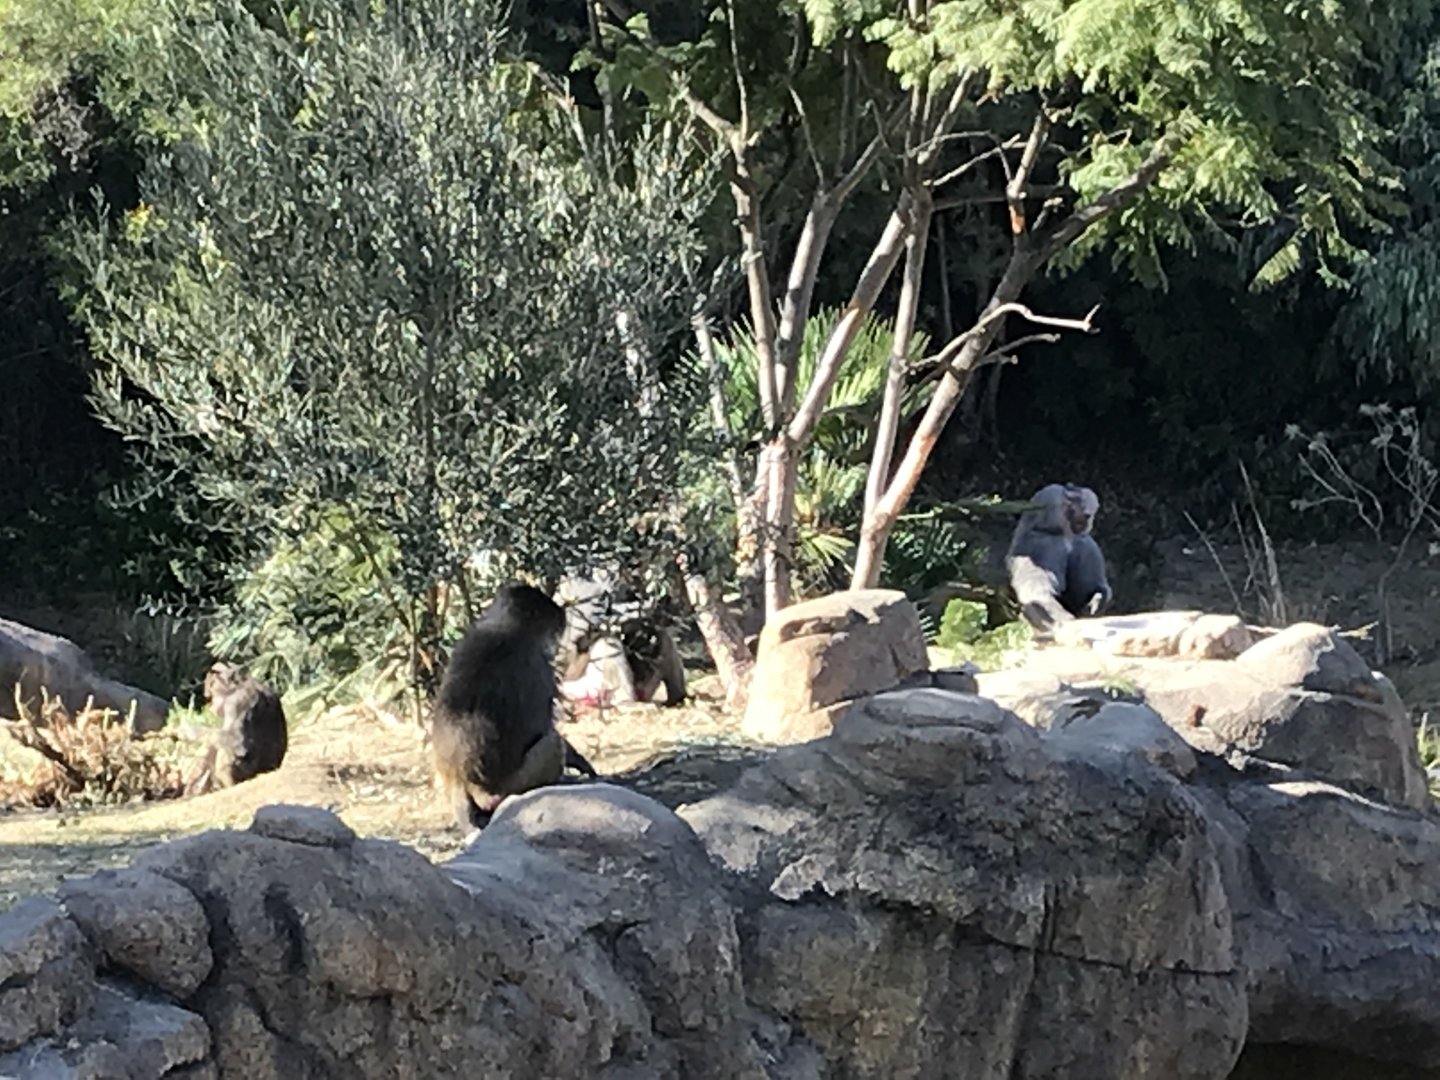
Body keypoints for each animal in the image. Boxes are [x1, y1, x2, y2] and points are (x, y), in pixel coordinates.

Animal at [185, 663, 287, 794]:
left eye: (212, 686)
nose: (210, 699)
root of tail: (269, 769)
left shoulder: (236, 702)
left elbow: (235, 738)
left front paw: (188, 731)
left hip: (246, 771)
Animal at [430, 582, 597, 832]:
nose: (562, 618)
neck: (505, 626)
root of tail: (459, 779)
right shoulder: (539, 667)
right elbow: (542, 727)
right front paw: (579, 762)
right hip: (509, 786)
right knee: (552, 743)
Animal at [1005, 483, 1112, 635]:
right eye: (1070, 499)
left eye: (1076, 493)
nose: (1087, 515)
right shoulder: (1040, 546)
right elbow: (1037, 593)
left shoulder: (1085, 544)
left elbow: (1096, 588)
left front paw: (1098, 600)